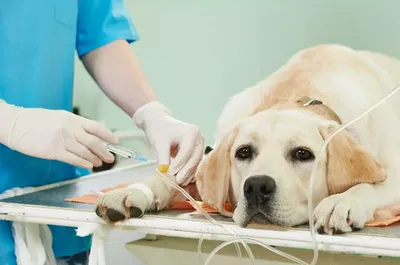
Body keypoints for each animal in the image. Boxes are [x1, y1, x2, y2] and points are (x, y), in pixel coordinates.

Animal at [95, 44, 400, 234]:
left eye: (303, 154)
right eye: (243, 152)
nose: (256, 187)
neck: (298, 96)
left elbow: (371, 185)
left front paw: (342, 202)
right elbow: (170, 178)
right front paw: (133, 190)